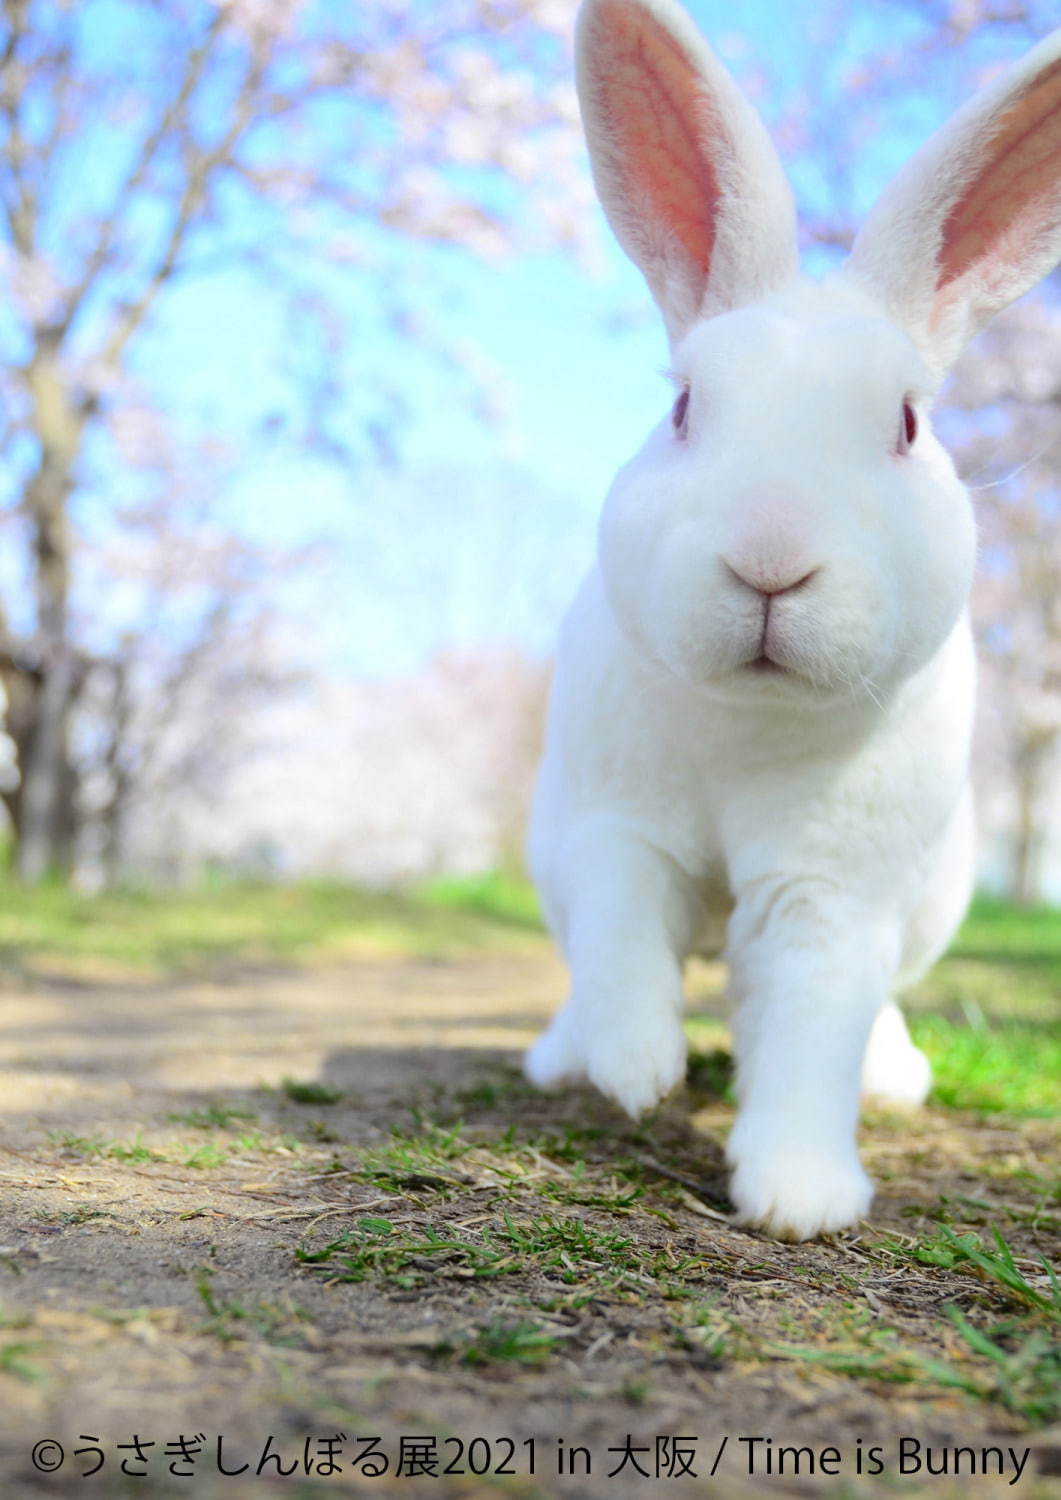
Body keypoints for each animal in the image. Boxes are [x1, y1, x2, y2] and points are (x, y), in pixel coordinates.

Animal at [525, 0, 1061, 1242]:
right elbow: (623, 940)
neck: (747, 721)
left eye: (905, 424)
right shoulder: (614, 831)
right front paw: (636, 1072)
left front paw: (798, 1199)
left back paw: (894, 1077)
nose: (769, 561)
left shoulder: (831, 893)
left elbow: (812, 1027)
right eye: (682, 408)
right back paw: (562, 1057)